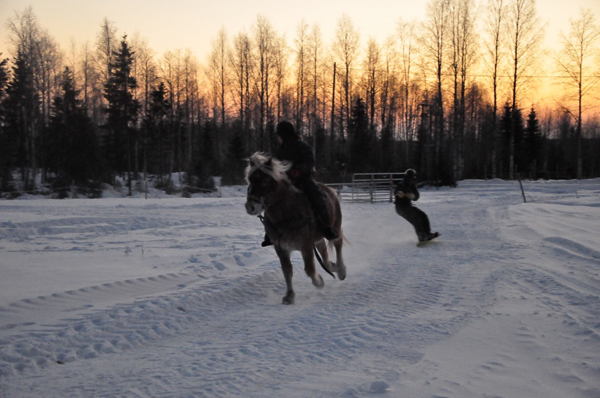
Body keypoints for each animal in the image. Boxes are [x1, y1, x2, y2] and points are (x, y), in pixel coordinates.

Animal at [245, 151, 346, 304]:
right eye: (250, 180)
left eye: (264, 181)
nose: (250, 207)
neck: (287, 213)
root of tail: (331, 190)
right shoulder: (281, 248)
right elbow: (287, 271)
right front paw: (289, 296)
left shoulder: (306, 246)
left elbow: (309, 269)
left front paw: (319, 282)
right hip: (318, 238)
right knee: (324, 252)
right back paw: (332, 266)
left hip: (336, 227)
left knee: (338, 244)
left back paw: (341, 270)